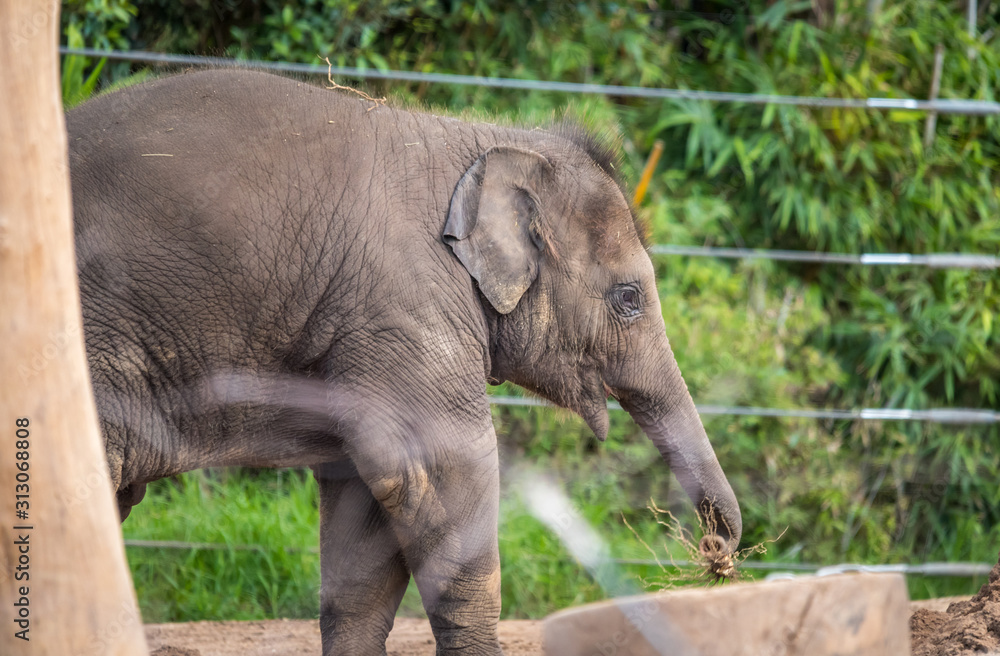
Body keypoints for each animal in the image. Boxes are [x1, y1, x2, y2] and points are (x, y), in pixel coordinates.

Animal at [66, 69, 742, 655]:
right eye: (629, 299)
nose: (717, 549)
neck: (482, 142)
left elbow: (365, 514)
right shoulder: (405, 309)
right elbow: (443, 469)